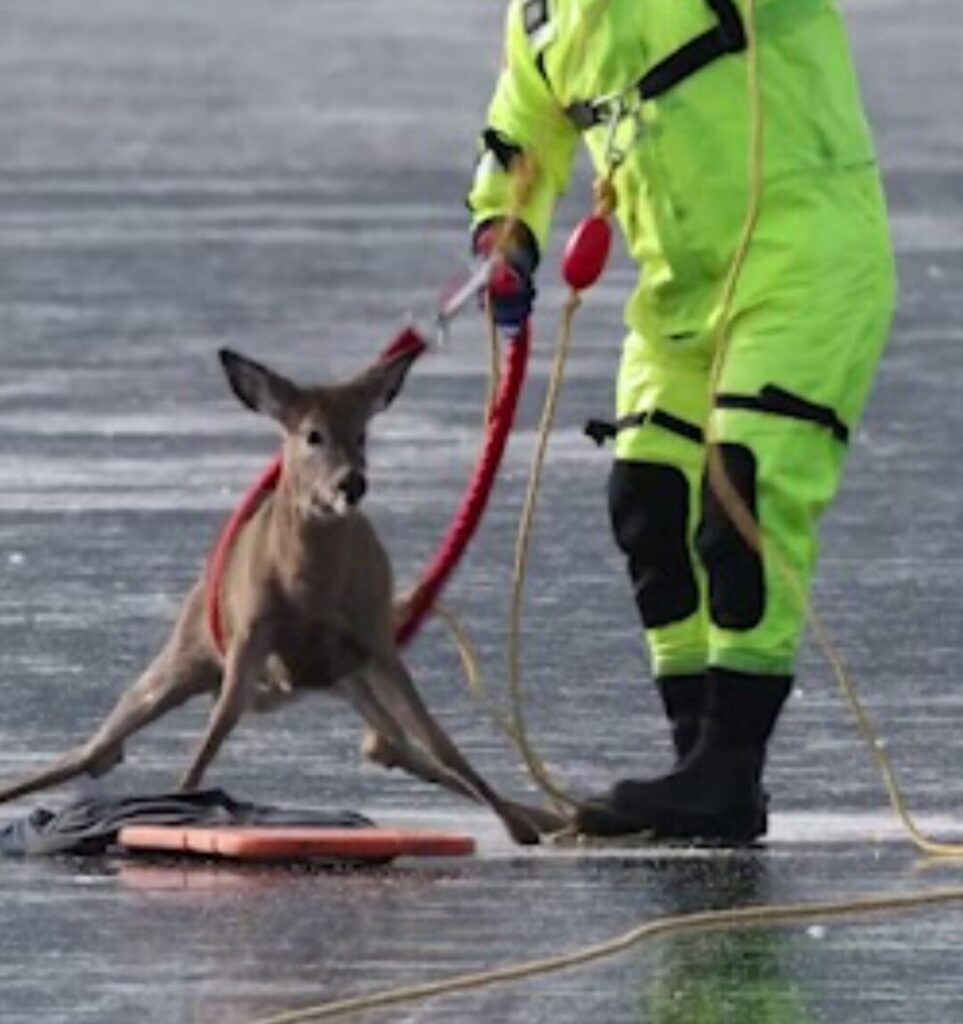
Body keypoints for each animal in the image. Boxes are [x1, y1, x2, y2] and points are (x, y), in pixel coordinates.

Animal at [0, 347, 566, 845]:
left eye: (362, 432)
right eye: (312, 434)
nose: (351, 483)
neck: (309, 588)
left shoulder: (376, 638)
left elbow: (441, 743)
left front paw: (520, 828)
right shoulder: (250, 635)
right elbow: (215, 732)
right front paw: (179, 802)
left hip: (345, 678)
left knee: (392, 742)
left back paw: (547, 817)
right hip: (189, 651)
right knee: (92, 746)